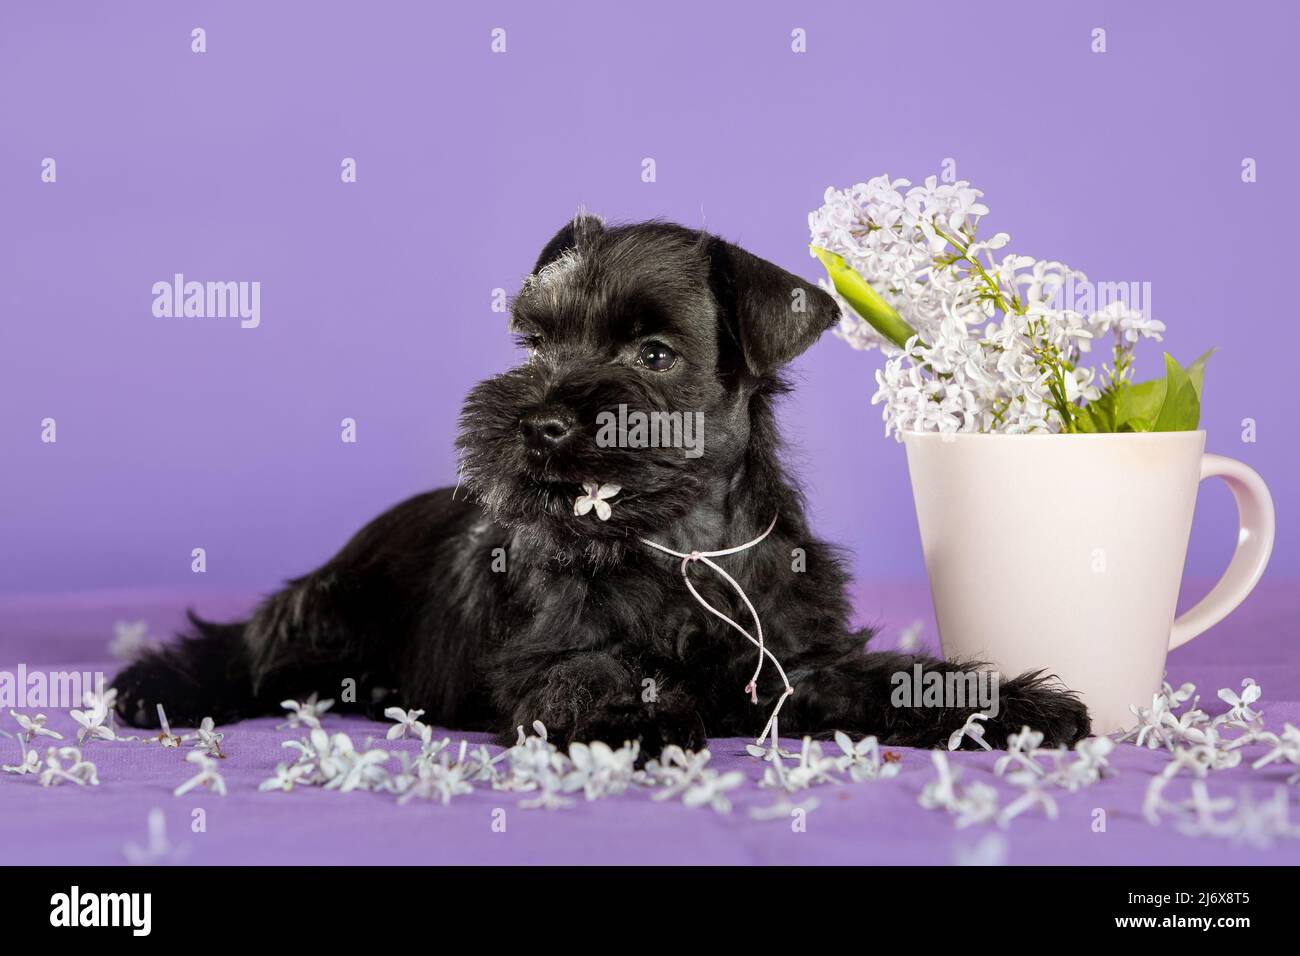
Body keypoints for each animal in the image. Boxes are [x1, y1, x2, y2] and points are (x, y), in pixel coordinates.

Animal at [111, 213, 1092, 749]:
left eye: (653, 354)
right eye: (538, 342)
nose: (538, 421)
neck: (682, 547)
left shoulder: (805, 661)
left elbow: (895, 678)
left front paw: (1013, 704)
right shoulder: (545, 654)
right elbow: (588, 673)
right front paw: (638, 716)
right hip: (322, 612)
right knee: (238, 646)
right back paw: (157, 688)